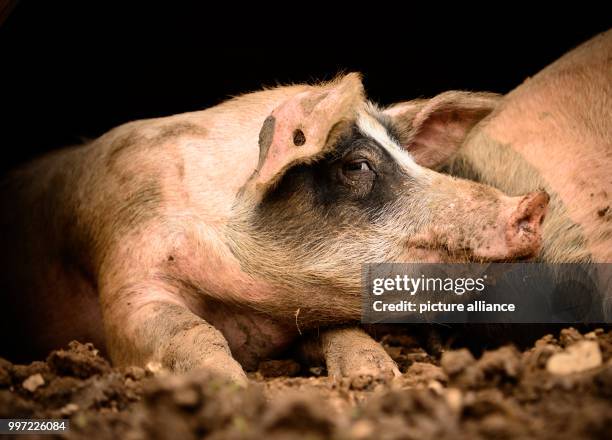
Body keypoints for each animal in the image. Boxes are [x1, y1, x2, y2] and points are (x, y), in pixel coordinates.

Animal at [0, 73, 544, 384]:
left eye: (409, 157)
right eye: (358, 166)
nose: (535, 203)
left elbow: (343, 327)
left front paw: (376, 377)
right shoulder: (127, 270)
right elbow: (187, 330)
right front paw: (232, 388)